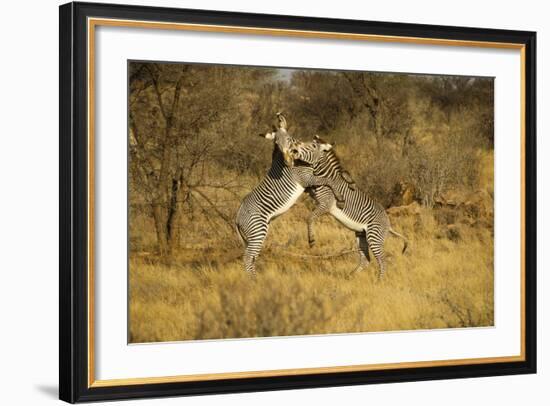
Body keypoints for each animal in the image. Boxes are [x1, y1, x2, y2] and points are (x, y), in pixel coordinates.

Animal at [234, 114, 348, 276]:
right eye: (277, 143)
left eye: (289, 139)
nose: (288, 161)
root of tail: (237, 218)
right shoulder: (306, 178)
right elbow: (328, 180)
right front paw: (339, 197)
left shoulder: (308, 181)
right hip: (257, 230)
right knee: (248, 257)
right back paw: (254, 280)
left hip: (252, 236)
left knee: (251, 257)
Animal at [288, 136, 410, 280]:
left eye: (311, 146)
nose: (295, 146)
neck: (324, 175)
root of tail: (388, 223)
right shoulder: (314, 192)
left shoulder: (326, 203)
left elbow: (310, 217)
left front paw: (311, 240)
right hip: (361, 234)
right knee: (366, 259)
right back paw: (350, 276)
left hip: (374, 237)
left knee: (382, 260)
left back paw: (379, 282)